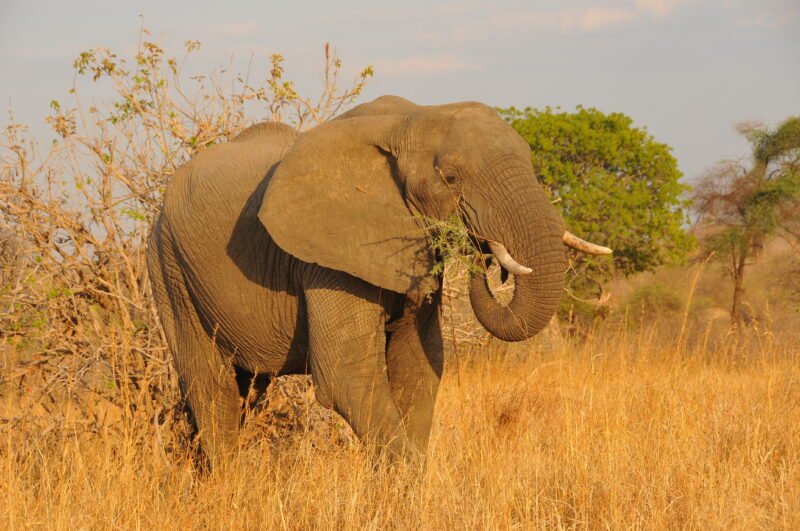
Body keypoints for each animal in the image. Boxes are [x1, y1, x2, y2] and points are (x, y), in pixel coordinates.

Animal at [146, 95, 610, 463]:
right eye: (451, 178)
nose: (482, 249)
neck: (413, 117)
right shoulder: (328, 252)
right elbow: (347, 373)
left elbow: (419, 364)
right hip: (169, 267)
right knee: (212, 389)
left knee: (247, 391)